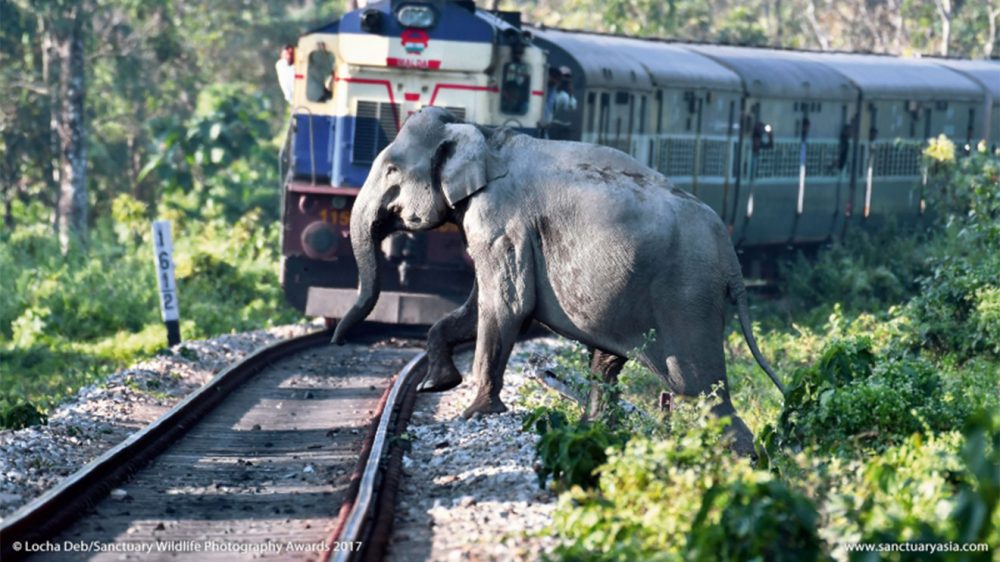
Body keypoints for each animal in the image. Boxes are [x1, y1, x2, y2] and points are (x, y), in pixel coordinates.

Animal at [336, 106, 788, 456]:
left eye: (391, 169)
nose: (338, 341)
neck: (482, 132)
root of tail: (730, 256)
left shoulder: (500, 221)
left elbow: (505, 306)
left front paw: (474, 413)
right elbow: (477, 308)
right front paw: (440, 383)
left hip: (687, 297)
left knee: (700, 390)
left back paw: (742, 461)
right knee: (610, 363)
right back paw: (594, 428)